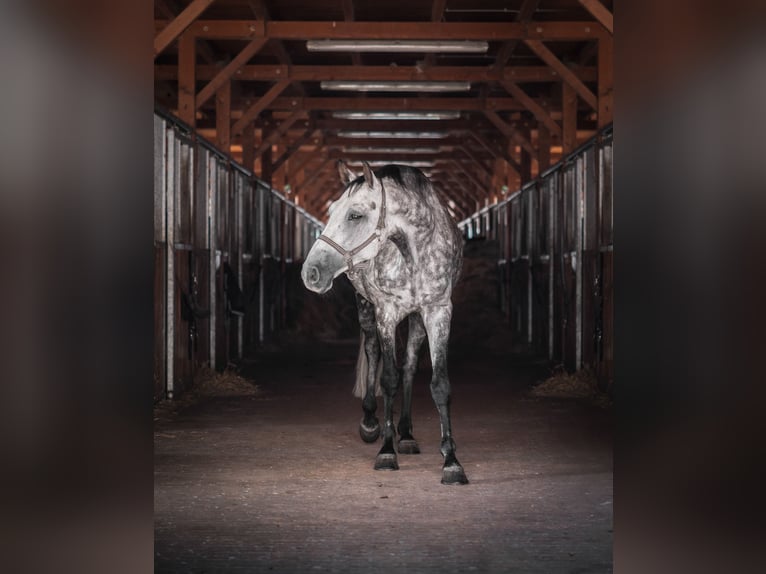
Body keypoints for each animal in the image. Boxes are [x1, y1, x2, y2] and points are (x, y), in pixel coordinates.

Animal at [304, 161, 472, 486]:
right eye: (331, 211)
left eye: (355, 215)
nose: (310, 273)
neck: (414, 254)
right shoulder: (386, 312)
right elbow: (388, 378)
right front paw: (385, 449)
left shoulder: (438, 312)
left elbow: (438, 384)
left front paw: (451, 461)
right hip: (367, 308)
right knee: (372, 352)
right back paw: (371, 423)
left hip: (417, 319)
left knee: (409, 366)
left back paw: (405, 434)